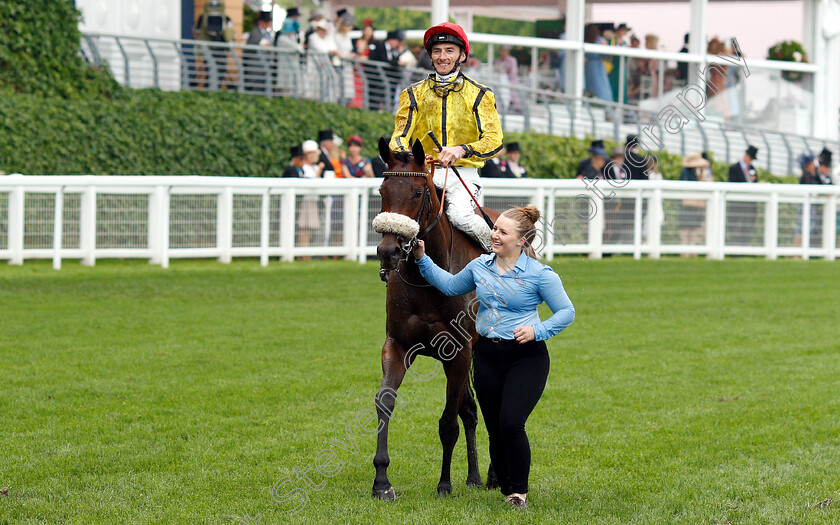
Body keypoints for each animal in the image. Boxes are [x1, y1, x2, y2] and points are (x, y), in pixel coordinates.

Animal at [372, 138, 498, 500]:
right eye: (382, 190)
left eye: (417, 192)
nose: (388, 251)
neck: (429, 279)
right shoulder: (398, 345)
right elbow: (385, 402)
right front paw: (382, 481)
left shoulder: (460, 351)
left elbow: (448, 421)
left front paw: (444, 483)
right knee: (470, 408)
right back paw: (474, 476)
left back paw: (492, 475)